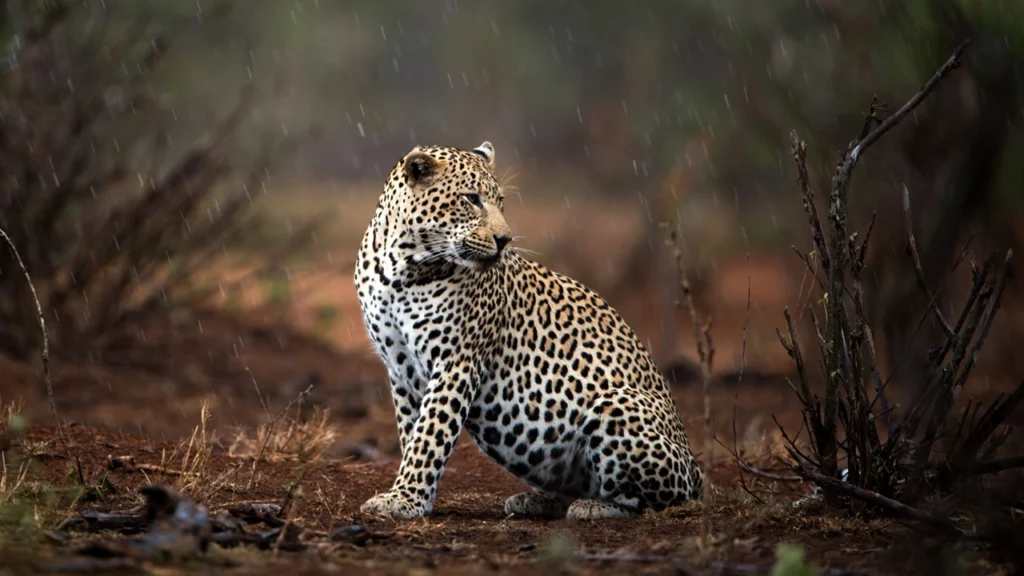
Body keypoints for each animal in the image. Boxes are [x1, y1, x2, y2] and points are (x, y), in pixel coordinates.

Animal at [353, 140, 703, 521]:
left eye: (500, 201)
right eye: (472, 199)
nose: (505, 239)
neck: (401, 267)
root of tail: (697, 469)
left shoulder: (457, 361)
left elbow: (430, 435)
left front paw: (405, 498)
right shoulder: (400, 369)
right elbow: (412, 433)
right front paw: (416, 498)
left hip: (618, 407)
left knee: (655, 500)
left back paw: (594, 506)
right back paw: (535, 501)